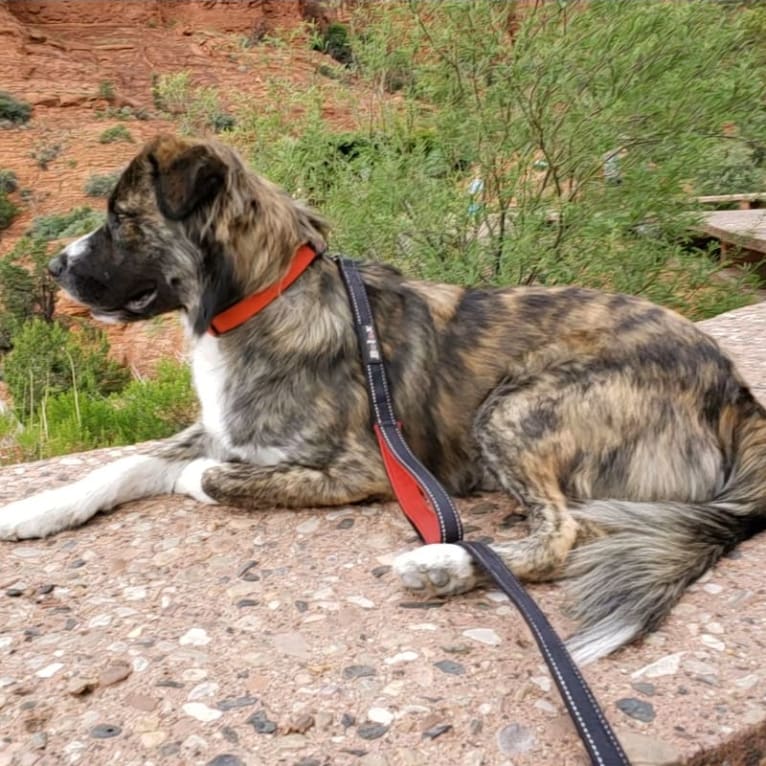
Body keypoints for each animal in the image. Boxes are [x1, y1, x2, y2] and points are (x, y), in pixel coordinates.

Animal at [1, 135, 766, 664]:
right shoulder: (218, 424)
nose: (52, 265)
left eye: (120, 219)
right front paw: (34, 509)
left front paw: (195, 480)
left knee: (561, 535)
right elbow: (124, 464)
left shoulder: (357, 468)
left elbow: (209, 477)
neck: (267, 300)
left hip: (519, 404)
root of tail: (735, 388)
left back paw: (443, 565)